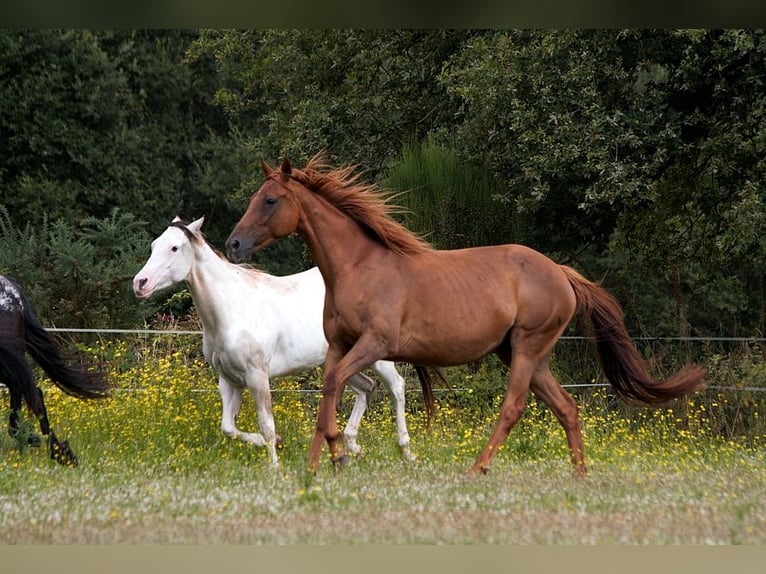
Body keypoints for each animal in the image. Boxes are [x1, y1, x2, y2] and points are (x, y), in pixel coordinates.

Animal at [134, 217, 420, 468]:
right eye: (154, 245)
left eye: (174, 247)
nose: (140, 283)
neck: (233, 309)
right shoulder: (229, 380)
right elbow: (228, 427)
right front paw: (275, 445)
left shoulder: (257, 377)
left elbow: (267, 425)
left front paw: (274, 466)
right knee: (366, 388)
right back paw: (353, 446)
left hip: (378, 357)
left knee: (396, 387)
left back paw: (406, 452)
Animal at [226, 155, 708, 480]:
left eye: (270, 200)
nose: (232, 245)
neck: (359, 267)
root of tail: (562, 273)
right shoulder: (340, 345)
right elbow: (329, 388)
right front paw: (316, 465)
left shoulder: (375, 345)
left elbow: (334, 385)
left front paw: (338, 454)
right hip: (525, 355)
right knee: (567, 408)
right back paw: (579, 474)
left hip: (528, 348)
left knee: (514, 407)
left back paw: (478, 468)